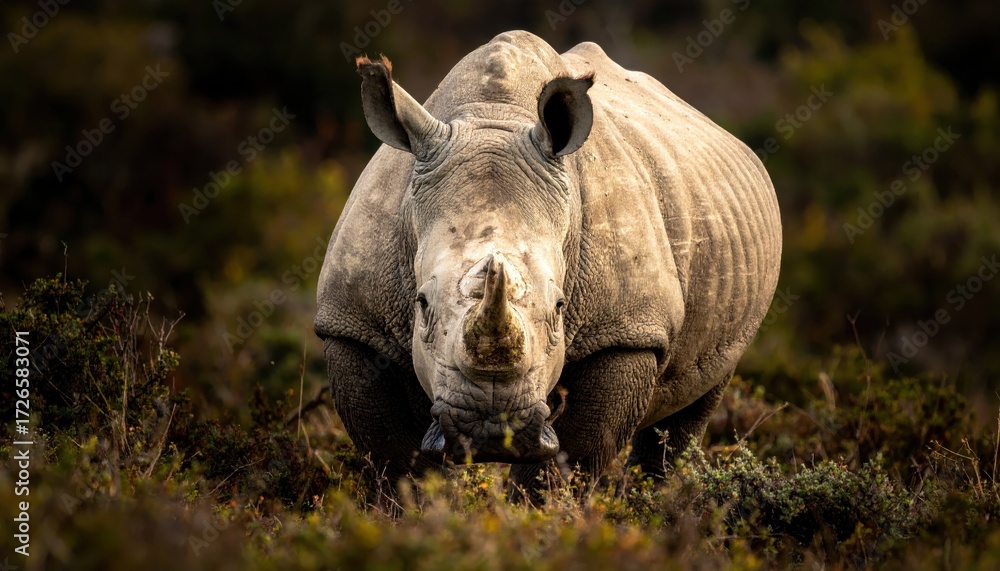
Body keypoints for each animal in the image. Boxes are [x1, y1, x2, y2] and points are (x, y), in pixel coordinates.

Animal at [315, 31, 781, 489]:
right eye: (422, 304)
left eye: (560, 307)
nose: (490, 427)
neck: (492, 115)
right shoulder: (354, 322)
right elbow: (398, 461)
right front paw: (418, 505)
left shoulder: (627, 329)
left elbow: (565, 462)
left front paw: (543, 507)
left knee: (698, 398)